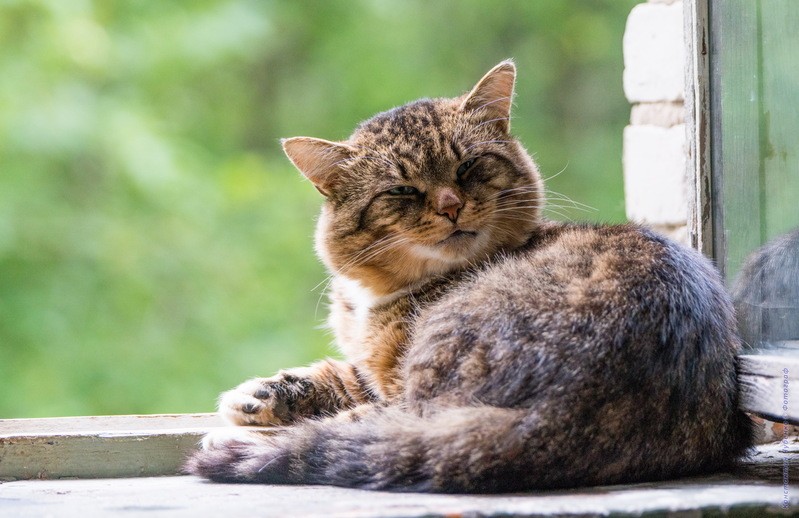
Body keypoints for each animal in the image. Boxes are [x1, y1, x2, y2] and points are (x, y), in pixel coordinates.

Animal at [184, 59, 752, 494]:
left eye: (468, 167)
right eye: (402, 191)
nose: (451, 205)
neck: (375, 295)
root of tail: (561, 416)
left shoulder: (390, 383)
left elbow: (347, 391)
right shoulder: (368, 371)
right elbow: (337, 373)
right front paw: (259, 395)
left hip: (433, 384)